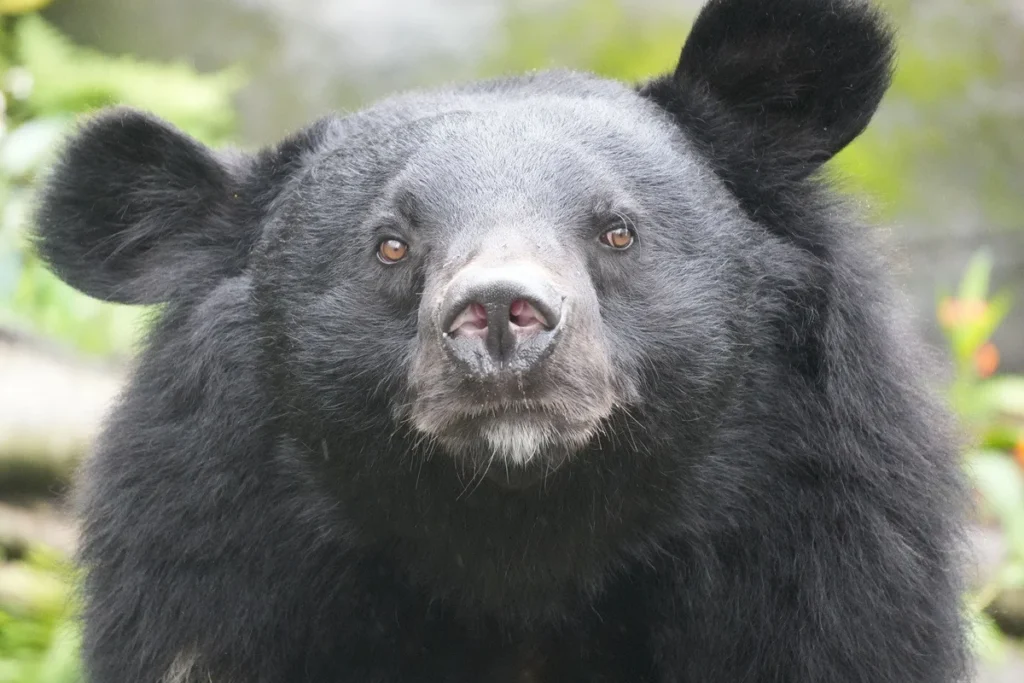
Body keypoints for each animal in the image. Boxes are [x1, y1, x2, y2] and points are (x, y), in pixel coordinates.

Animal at [33, 0, 970, 681]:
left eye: (618, 230)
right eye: (390, 244)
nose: (498, 312)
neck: (520, 541)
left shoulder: (817, 555)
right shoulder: (217, 569)